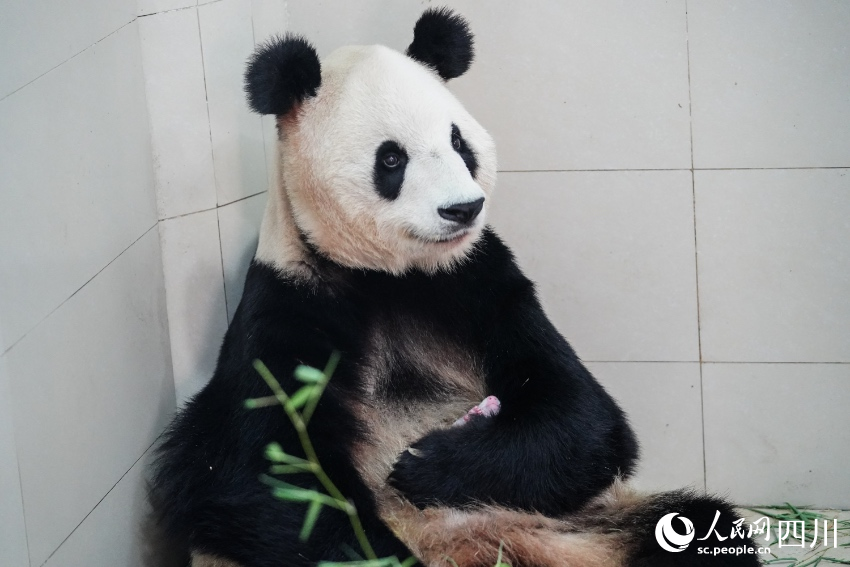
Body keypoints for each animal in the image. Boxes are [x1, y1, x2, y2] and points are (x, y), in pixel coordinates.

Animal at [152, 8, 761, 567]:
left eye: (457, 141)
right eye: (391, 157)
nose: (463, 208)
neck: (387, 277)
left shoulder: (478, 281)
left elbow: (580, 415)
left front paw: (425, 462)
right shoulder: (288, 302)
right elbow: (257, 476)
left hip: (586, 524)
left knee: (692, 525)